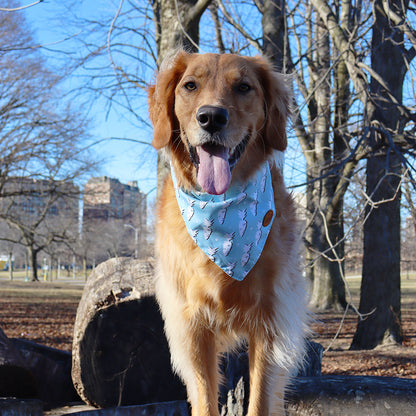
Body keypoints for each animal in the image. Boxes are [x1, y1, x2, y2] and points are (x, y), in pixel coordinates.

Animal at [149, 50, 308, 414]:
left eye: (244, 87)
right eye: (190, 85)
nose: (211, 117)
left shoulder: (271, 321)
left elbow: (261, 400)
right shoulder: (192, 326)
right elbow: (204, 398)